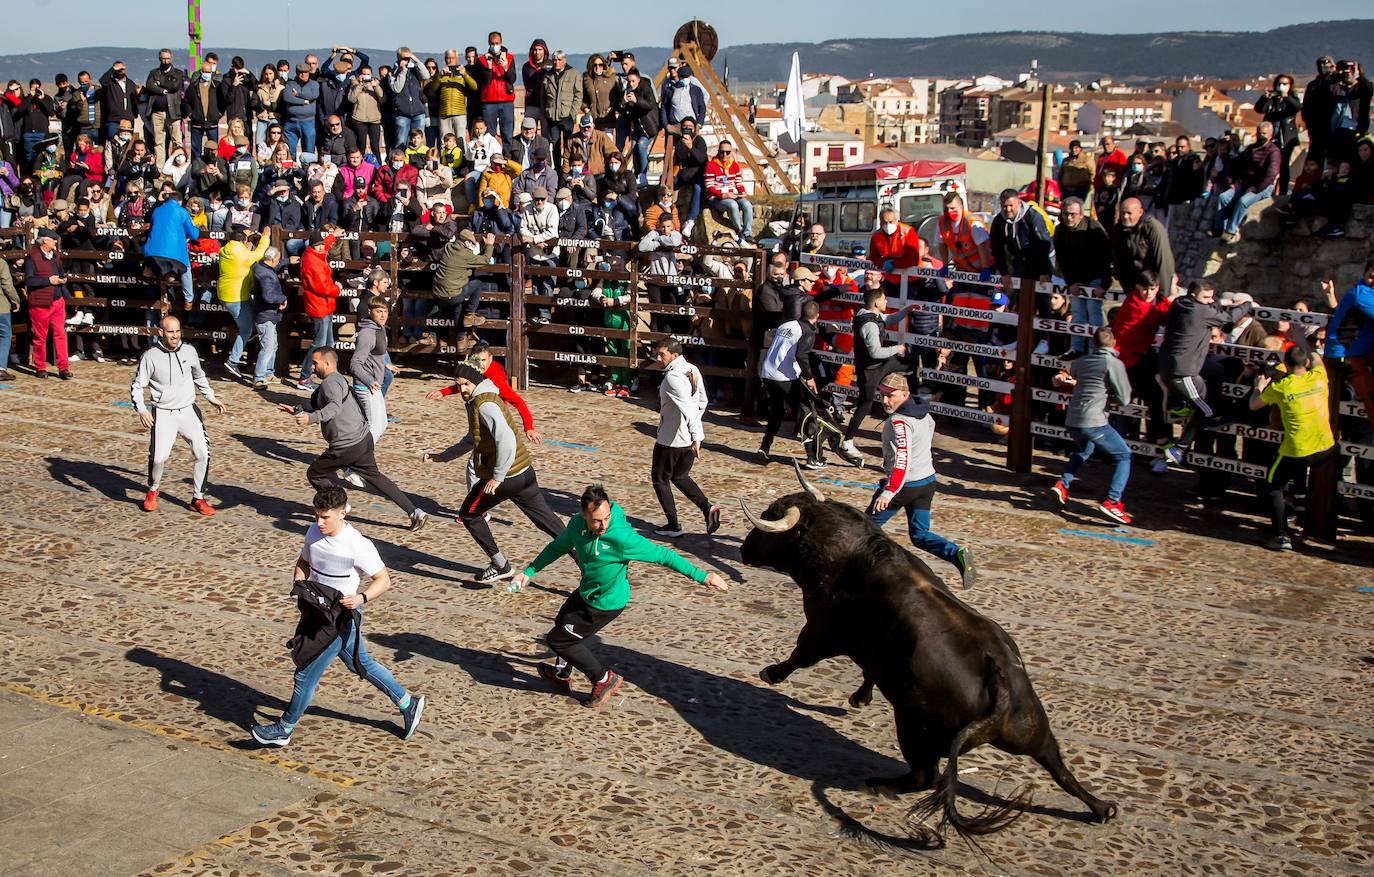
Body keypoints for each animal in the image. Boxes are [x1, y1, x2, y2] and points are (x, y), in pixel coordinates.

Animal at [741, 467, 1115, 846]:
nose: (744, 548)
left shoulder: (822, 629)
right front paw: (860, 697)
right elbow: (868, 670)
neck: (850, 551)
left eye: (770, 517)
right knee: (1056, 763)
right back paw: (1101, 808)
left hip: (913, 728)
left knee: (927, 776)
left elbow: (801, 654)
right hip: (1030, 731)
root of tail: (1000, 682)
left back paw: (878, 785)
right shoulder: (873, 649)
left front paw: (770, 673)